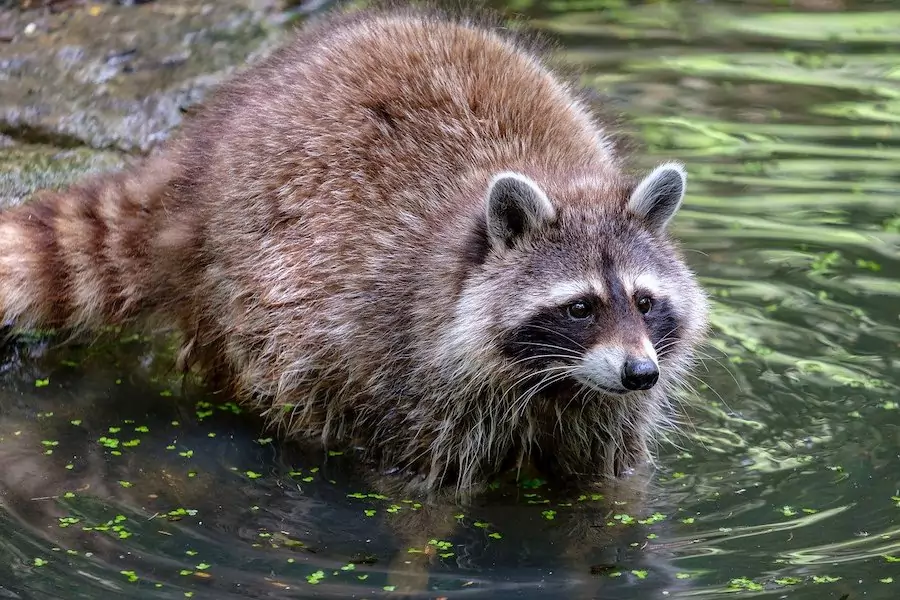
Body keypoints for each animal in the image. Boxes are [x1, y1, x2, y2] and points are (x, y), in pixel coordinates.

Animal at [0, 3, 712, 492]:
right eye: (580, 307)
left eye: (644, 302)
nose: (641, 372)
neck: (554, 385)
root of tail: (196, 158)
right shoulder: (410, 370)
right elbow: (421, 496)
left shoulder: (607, 409)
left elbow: (611, 489)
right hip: (248, 292)